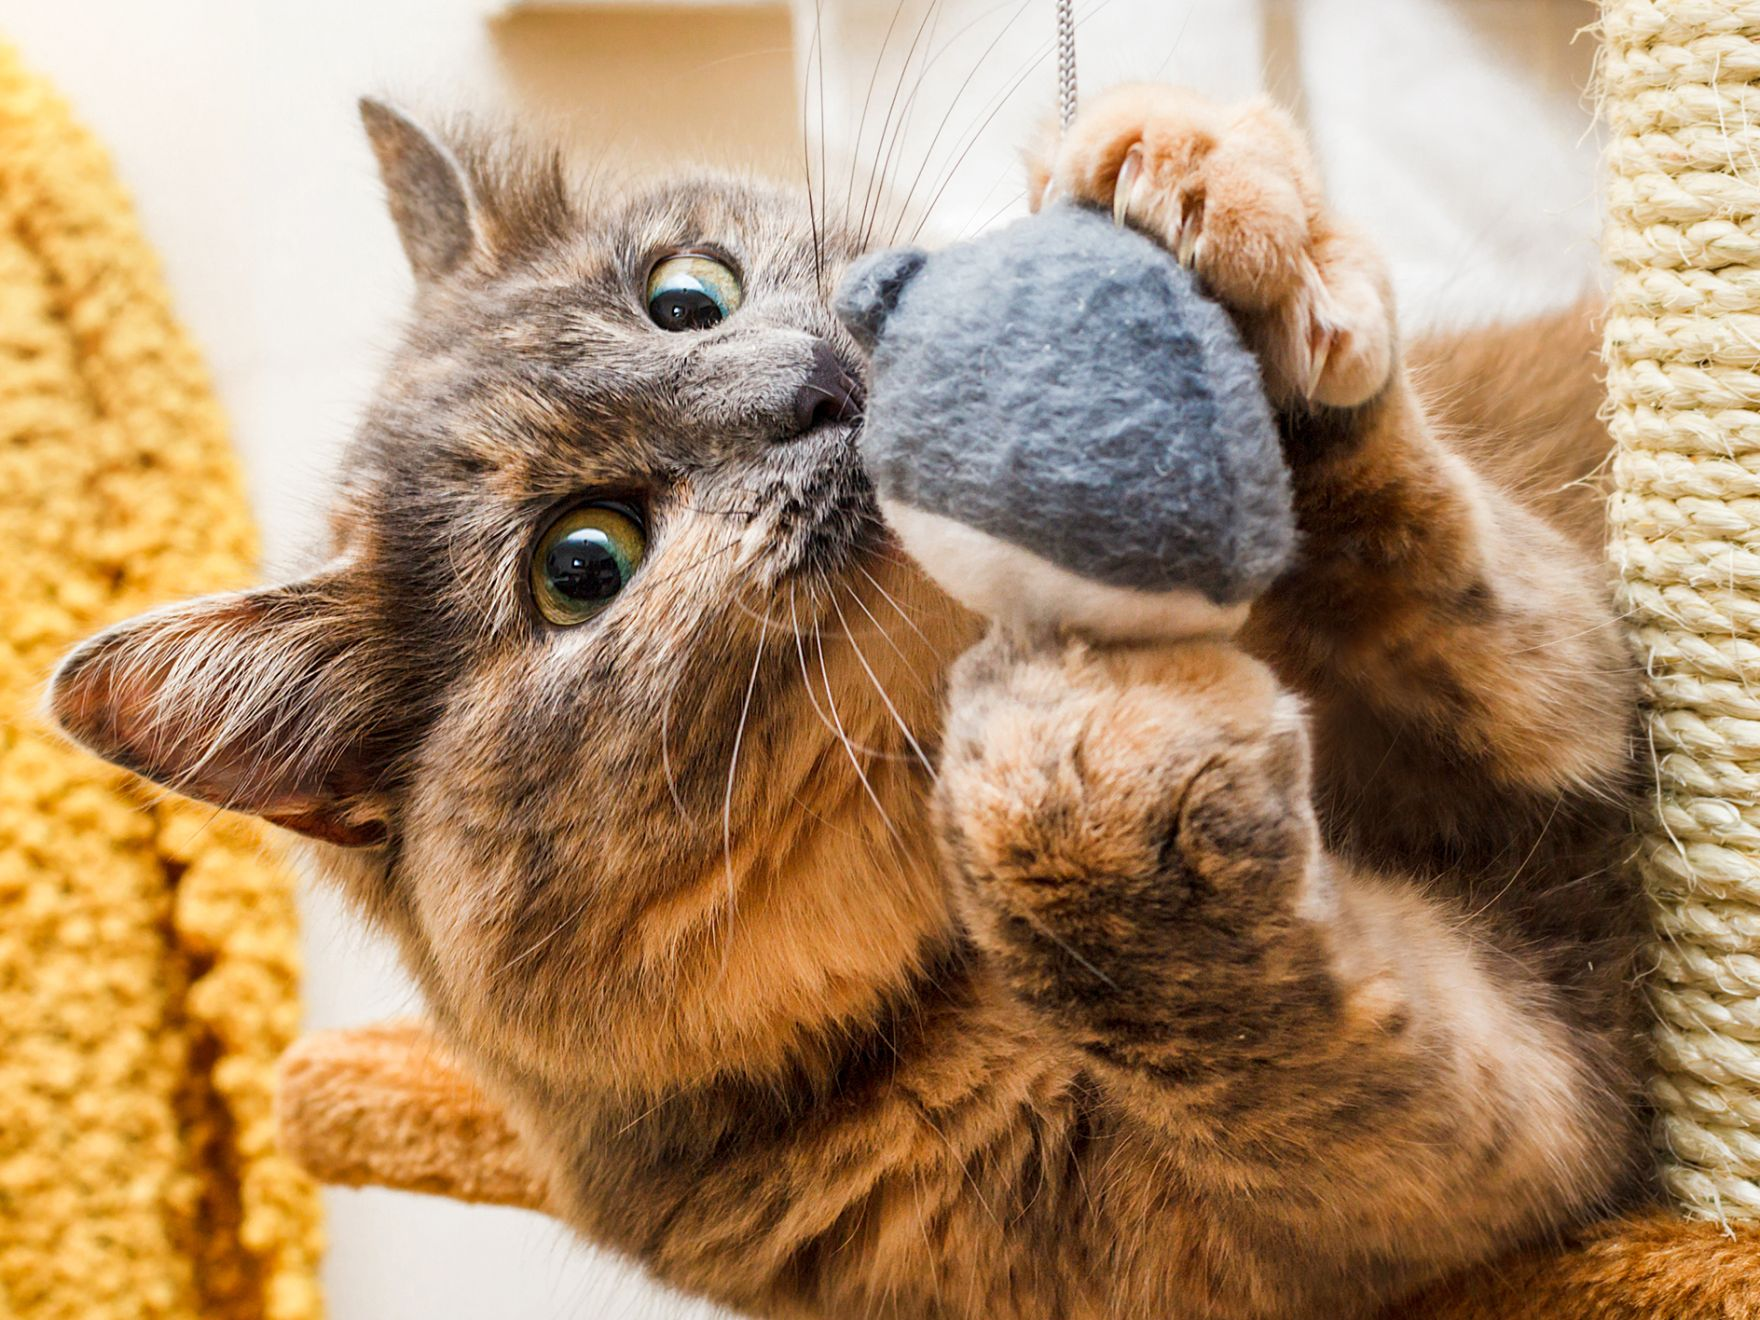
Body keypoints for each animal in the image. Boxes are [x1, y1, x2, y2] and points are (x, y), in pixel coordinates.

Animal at [55, 88, 1647, 1316]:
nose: (818, 387)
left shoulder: (1579, 693)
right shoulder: (1412, 1178)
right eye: (581, 563)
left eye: (685, 295)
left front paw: (1201, 202)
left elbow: (1473, 597)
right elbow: (1292, 1050)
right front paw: (1079, 784)